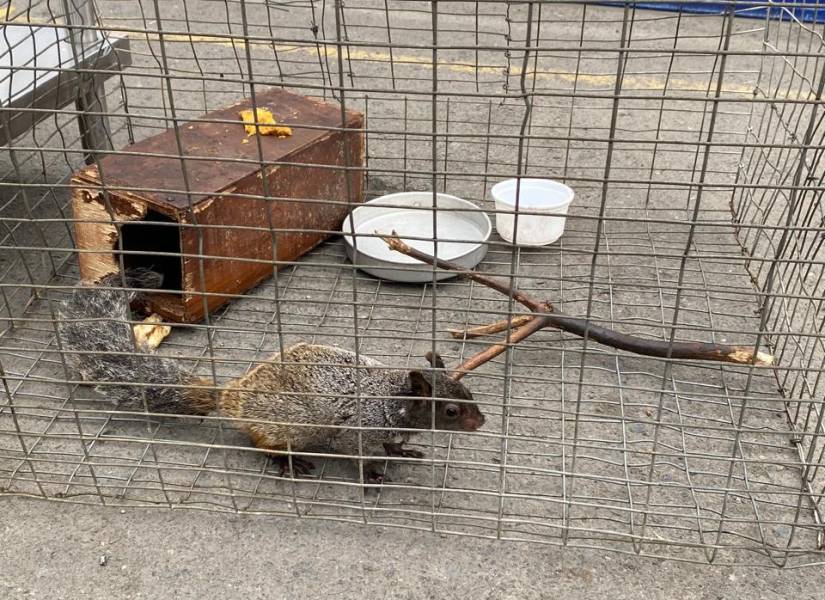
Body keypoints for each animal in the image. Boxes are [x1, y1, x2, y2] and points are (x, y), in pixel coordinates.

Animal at [59, 270, 482, 480]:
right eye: (450, 411)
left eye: (468, 393)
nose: (482, 421)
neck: (393, 396)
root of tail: (233, 395)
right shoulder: (358, 429)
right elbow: (357, 454)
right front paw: (374, 474)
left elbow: (393, 445)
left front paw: (401, 450)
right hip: (287, 426)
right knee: (261, 443)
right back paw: (287, 462)